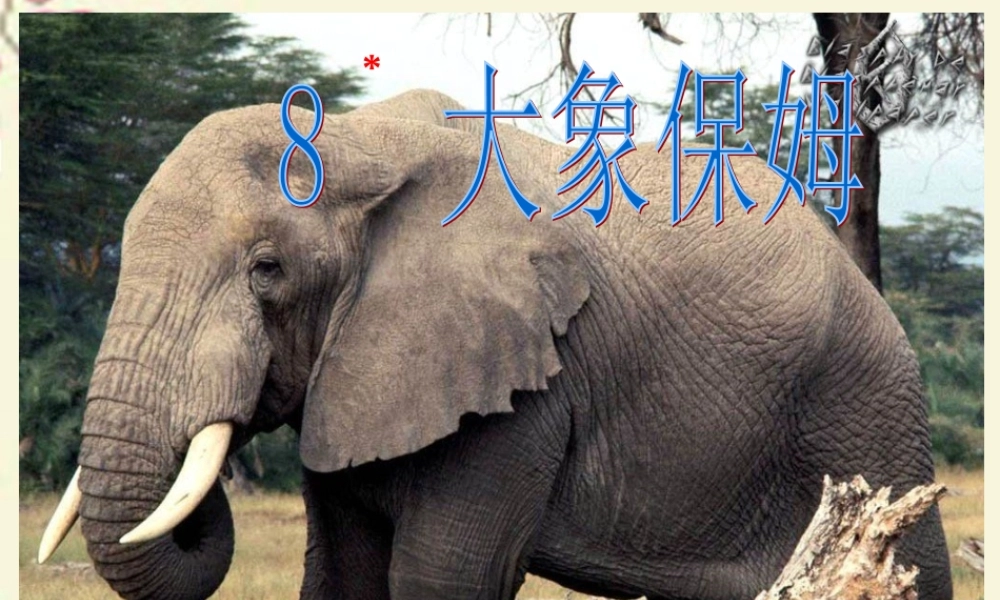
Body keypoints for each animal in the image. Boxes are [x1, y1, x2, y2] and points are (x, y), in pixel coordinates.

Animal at [39, 88, 953, 600]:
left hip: (866, 407)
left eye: (267, 271)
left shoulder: (522, 391)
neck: (358, 144)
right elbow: (343, 574)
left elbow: (443, 578)